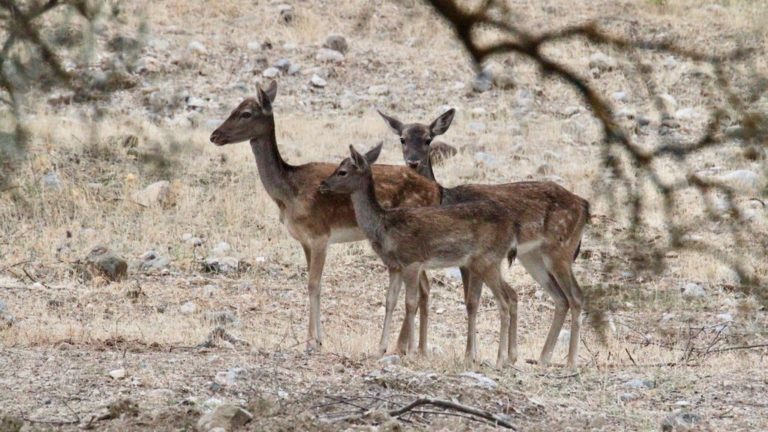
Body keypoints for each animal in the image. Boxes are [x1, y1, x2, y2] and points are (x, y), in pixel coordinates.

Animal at [208, 81, 444, 354]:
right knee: (424, 288)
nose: (214, 135)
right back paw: (417, 349)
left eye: (245, 113)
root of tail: (437, 189)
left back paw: (405, 348)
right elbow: (313, 284)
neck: (289, 192)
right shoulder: (304, 240)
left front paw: (313, 342)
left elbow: (314, 284)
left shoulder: (320, 234)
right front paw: (314, 338)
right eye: (234, 107)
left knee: (423, 288)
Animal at [318, 145, 520, 368]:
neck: (384, 229)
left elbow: (410, 303)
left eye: (342, 171)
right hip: (487, 263)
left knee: (503, 302)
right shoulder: (394, 266)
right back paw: (509, 357)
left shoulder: (412, 261)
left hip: (487, 259)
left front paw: (412, 352)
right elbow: (390, 301)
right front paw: (380, 349)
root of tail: (513, 229)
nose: (323, 184)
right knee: (512, 294)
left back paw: (500, 359)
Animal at [380, 108, 592, 368]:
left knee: (576, 296)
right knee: (560, 298)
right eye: (402, 139)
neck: (443, 198)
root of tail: (584, 205)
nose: (413, 162)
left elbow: (471, 301)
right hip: (533, 256)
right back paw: (542, 358)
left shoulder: (469, 259)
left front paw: (470, 354)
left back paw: (570, 361)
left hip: (560, 248)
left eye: (428, 139)